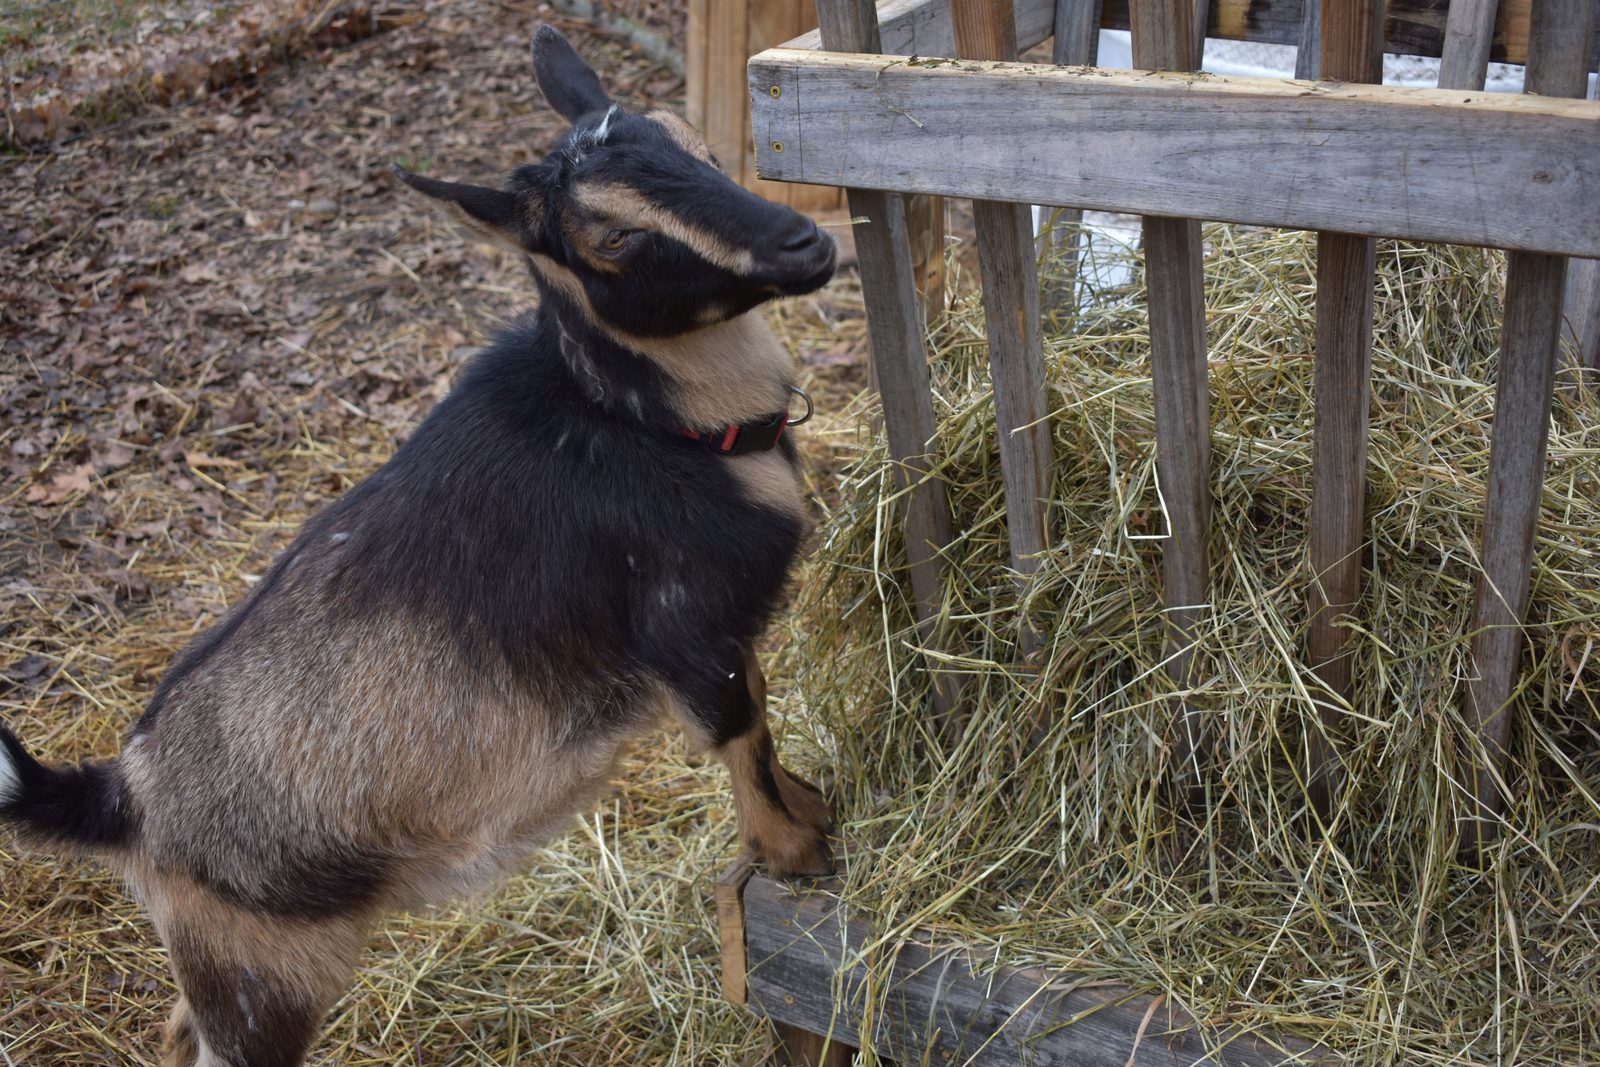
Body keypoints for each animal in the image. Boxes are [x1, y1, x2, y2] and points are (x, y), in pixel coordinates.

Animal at [0, 25, 836, 1067]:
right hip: (263, 974)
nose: (805, 241)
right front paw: (799, 854)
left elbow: (765, 717)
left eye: (700, 146)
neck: (642, 423)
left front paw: (812, 806)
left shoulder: (730, 628)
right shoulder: (686, 633)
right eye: (612, 237)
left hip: (221, 963)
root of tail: (122, 797)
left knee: (177, 1021)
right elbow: (740, 740)